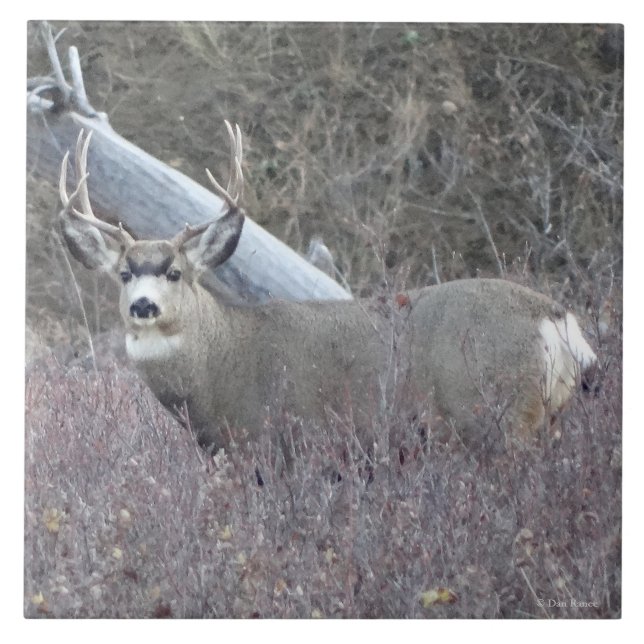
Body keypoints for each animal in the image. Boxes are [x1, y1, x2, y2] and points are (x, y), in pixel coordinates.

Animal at [57, 123, 597, 455]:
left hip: (498, 416)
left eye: (175, 273)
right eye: (123, 274)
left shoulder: (279, 443)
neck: (221, 366)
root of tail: (555, 318)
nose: (143, 306)